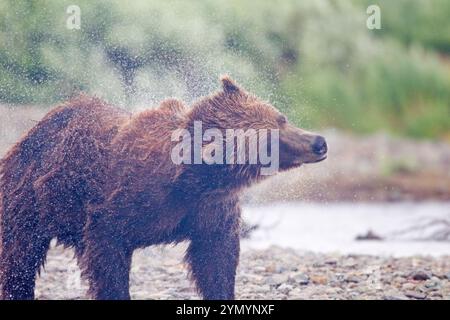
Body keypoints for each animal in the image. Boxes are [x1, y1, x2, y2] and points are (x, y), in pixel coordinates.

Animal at [0, 75, 326, 300]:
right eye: (269, 140)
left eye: (282, 118)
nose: (319, 142)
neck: (193, 183)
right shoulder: (123, 202)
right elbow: (107, 255)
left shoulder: (211, 209)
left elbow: (216, 258)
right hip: (30, 193)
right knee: (20, 254)